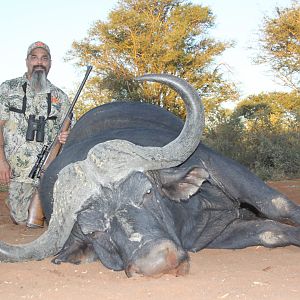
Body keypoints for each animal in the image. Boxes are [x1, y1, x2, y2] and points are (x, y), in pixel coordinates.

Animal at [0, 74, 300, 276]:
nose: (157, 262)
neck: (192, 209)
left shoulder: (223, 169)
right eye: (94, 231)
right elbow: (271, 233)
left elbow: (277, 205)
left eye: (147, 193)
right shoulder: (219, 234)